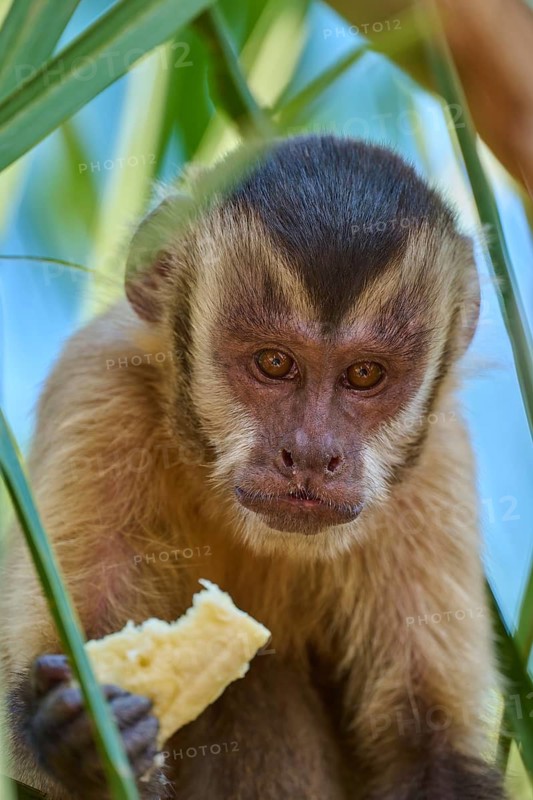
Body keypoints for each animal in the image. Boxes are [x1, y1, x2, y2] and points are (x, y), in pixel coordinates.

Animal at [0, 134, 506, 800]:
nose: (312, 453)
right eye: (274, 363)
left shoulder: (439, 458)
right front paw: (80, 739)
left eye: (364, 374)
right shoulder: (97, 389)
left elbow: (428, 748)